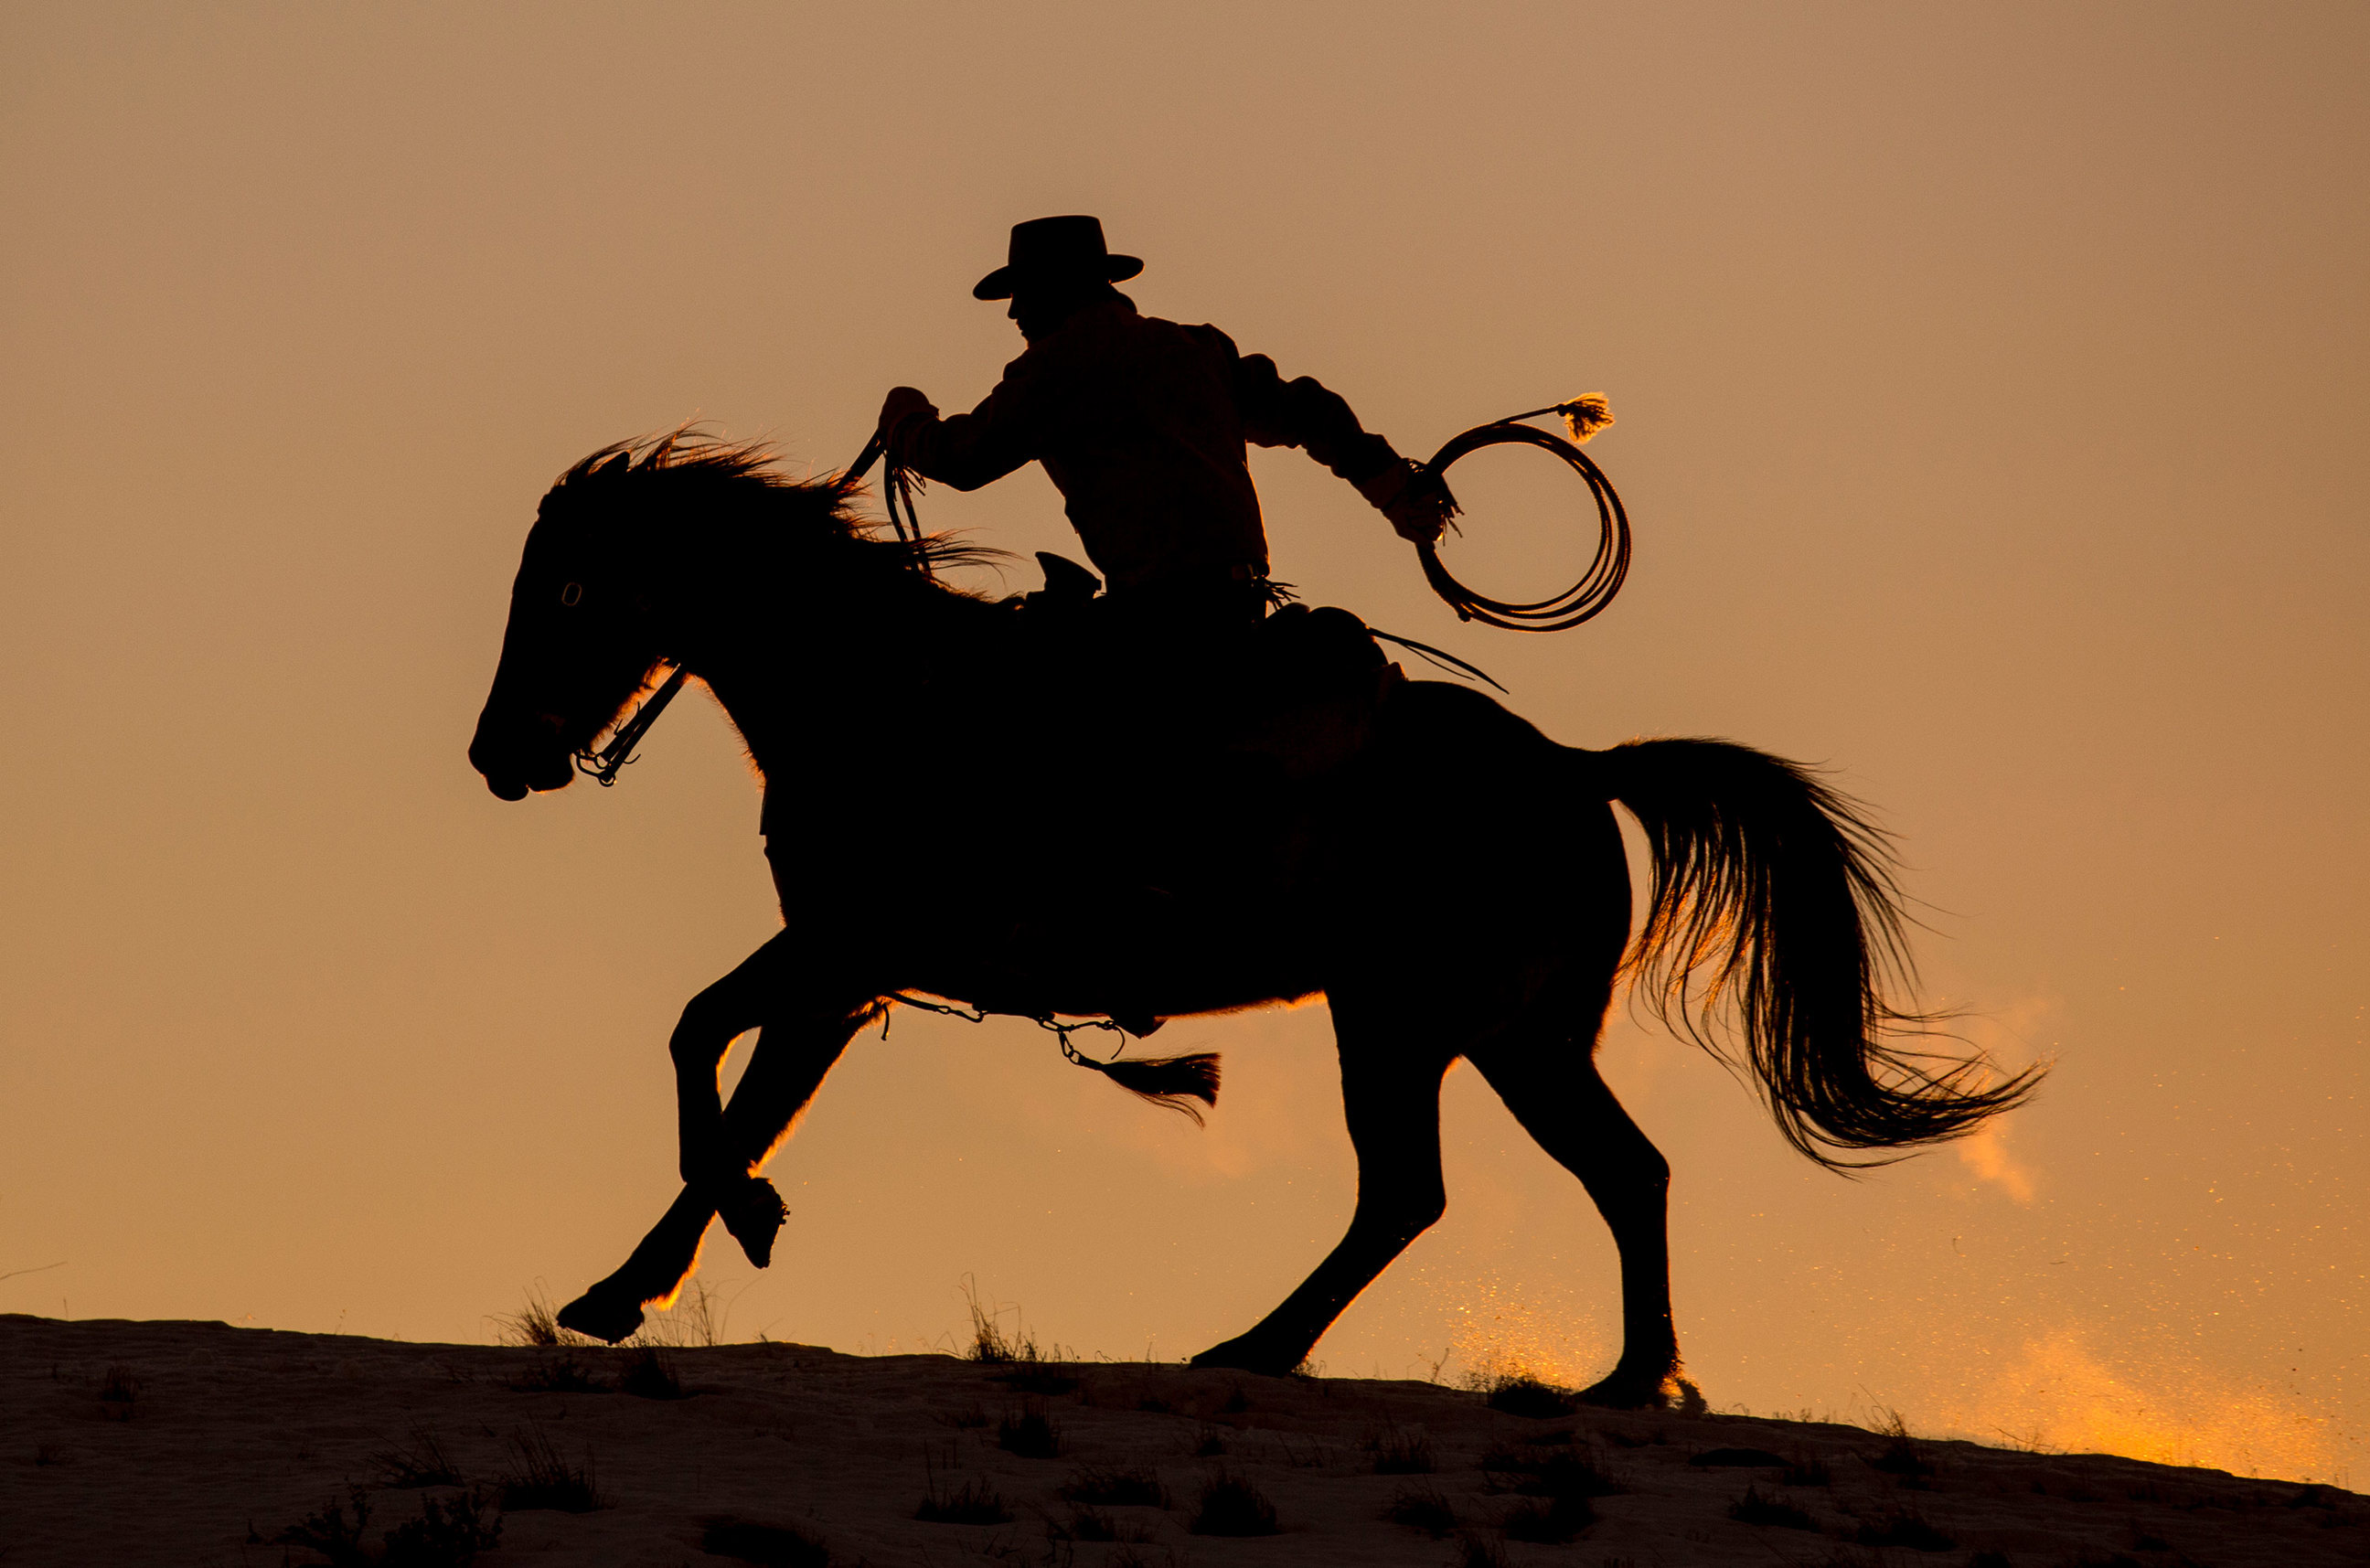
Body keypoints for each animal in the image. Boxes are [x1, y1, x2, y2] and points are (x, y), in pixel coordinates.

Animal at [465, 432, 2039, 1407]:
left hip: (1420, 1025)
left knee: (1438, 1186)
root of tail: (1575, 770)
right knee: (1593, 1174)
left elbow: (704, 1056)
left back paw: (1282, 1346)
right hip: (1501, 1034)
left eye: (569, 586)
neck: (888, 697)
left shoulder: (845, 952)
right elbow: (726, 1067)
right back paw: (1604, 1373)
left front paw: (731, 1223)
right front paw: (637, 1279)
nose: (500, 754)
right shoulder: (846, 971)